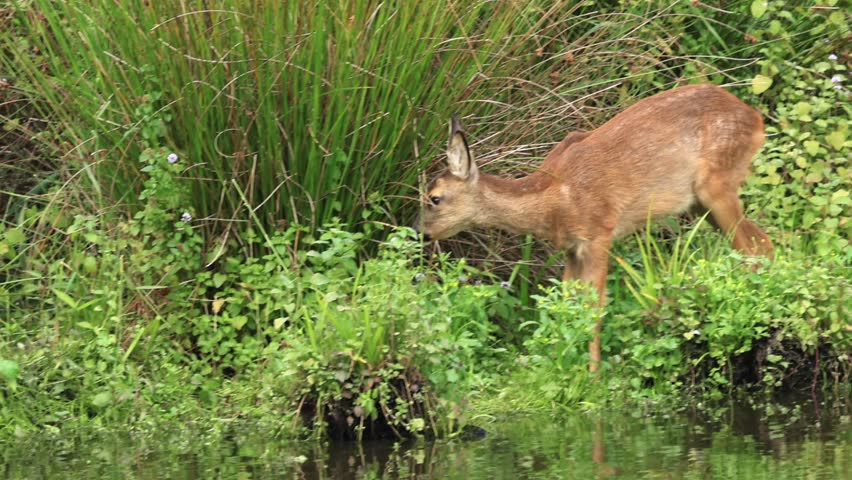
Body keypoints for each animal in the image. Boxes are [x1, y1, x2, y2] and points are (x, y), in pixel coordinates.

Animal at [415, 84, 774, 373]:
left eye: (434, 198)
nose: (419, 232)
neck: (554, 198)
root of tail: (757, 119)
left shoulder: (600, 232)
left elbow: (594, 307)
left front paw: (592, 376)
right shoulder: (572, 248)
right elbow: (566, 305)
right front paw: (558, 364)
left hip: (718, 184)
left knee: (752, 245)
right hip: (701, 201)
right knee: (762, 242)